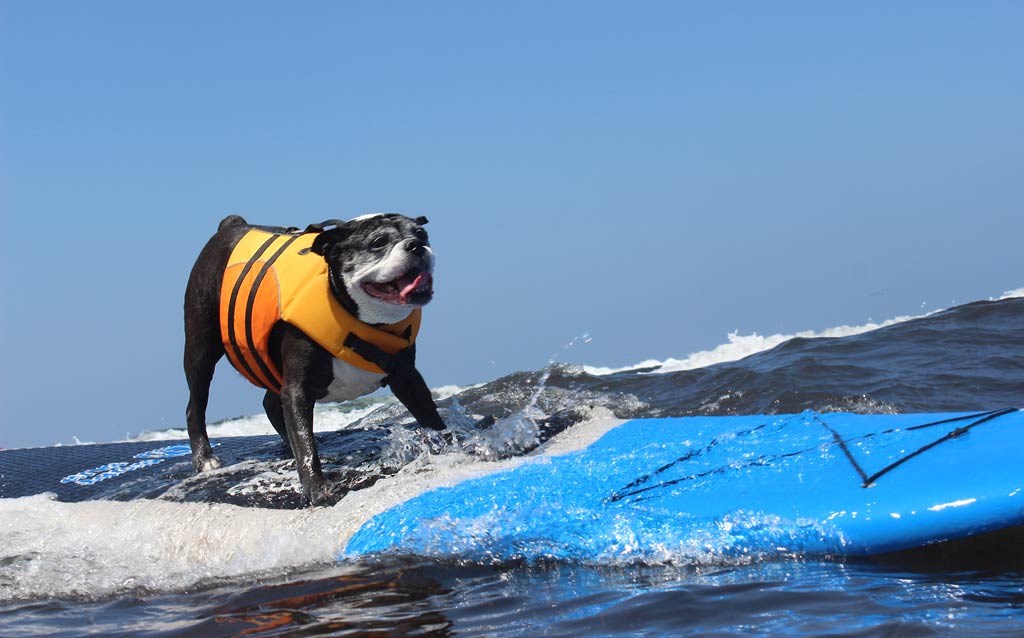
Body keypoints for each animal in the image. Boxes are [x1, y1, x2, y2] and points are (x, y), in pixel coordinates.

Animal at [183, 217, 444, 505]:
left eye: (422, 233)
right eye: (378, 242)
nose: (415, 245)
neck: (358, 319)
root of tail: (232, 224)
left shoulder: (406, 375)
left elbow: (428, 412)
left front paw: (449, 441)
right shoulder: (298, 388)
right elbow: (305, 443)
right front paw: (317, 487)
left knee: (271, 402)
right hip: (201, 345)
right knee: (196, 402)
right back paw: (205, 457)